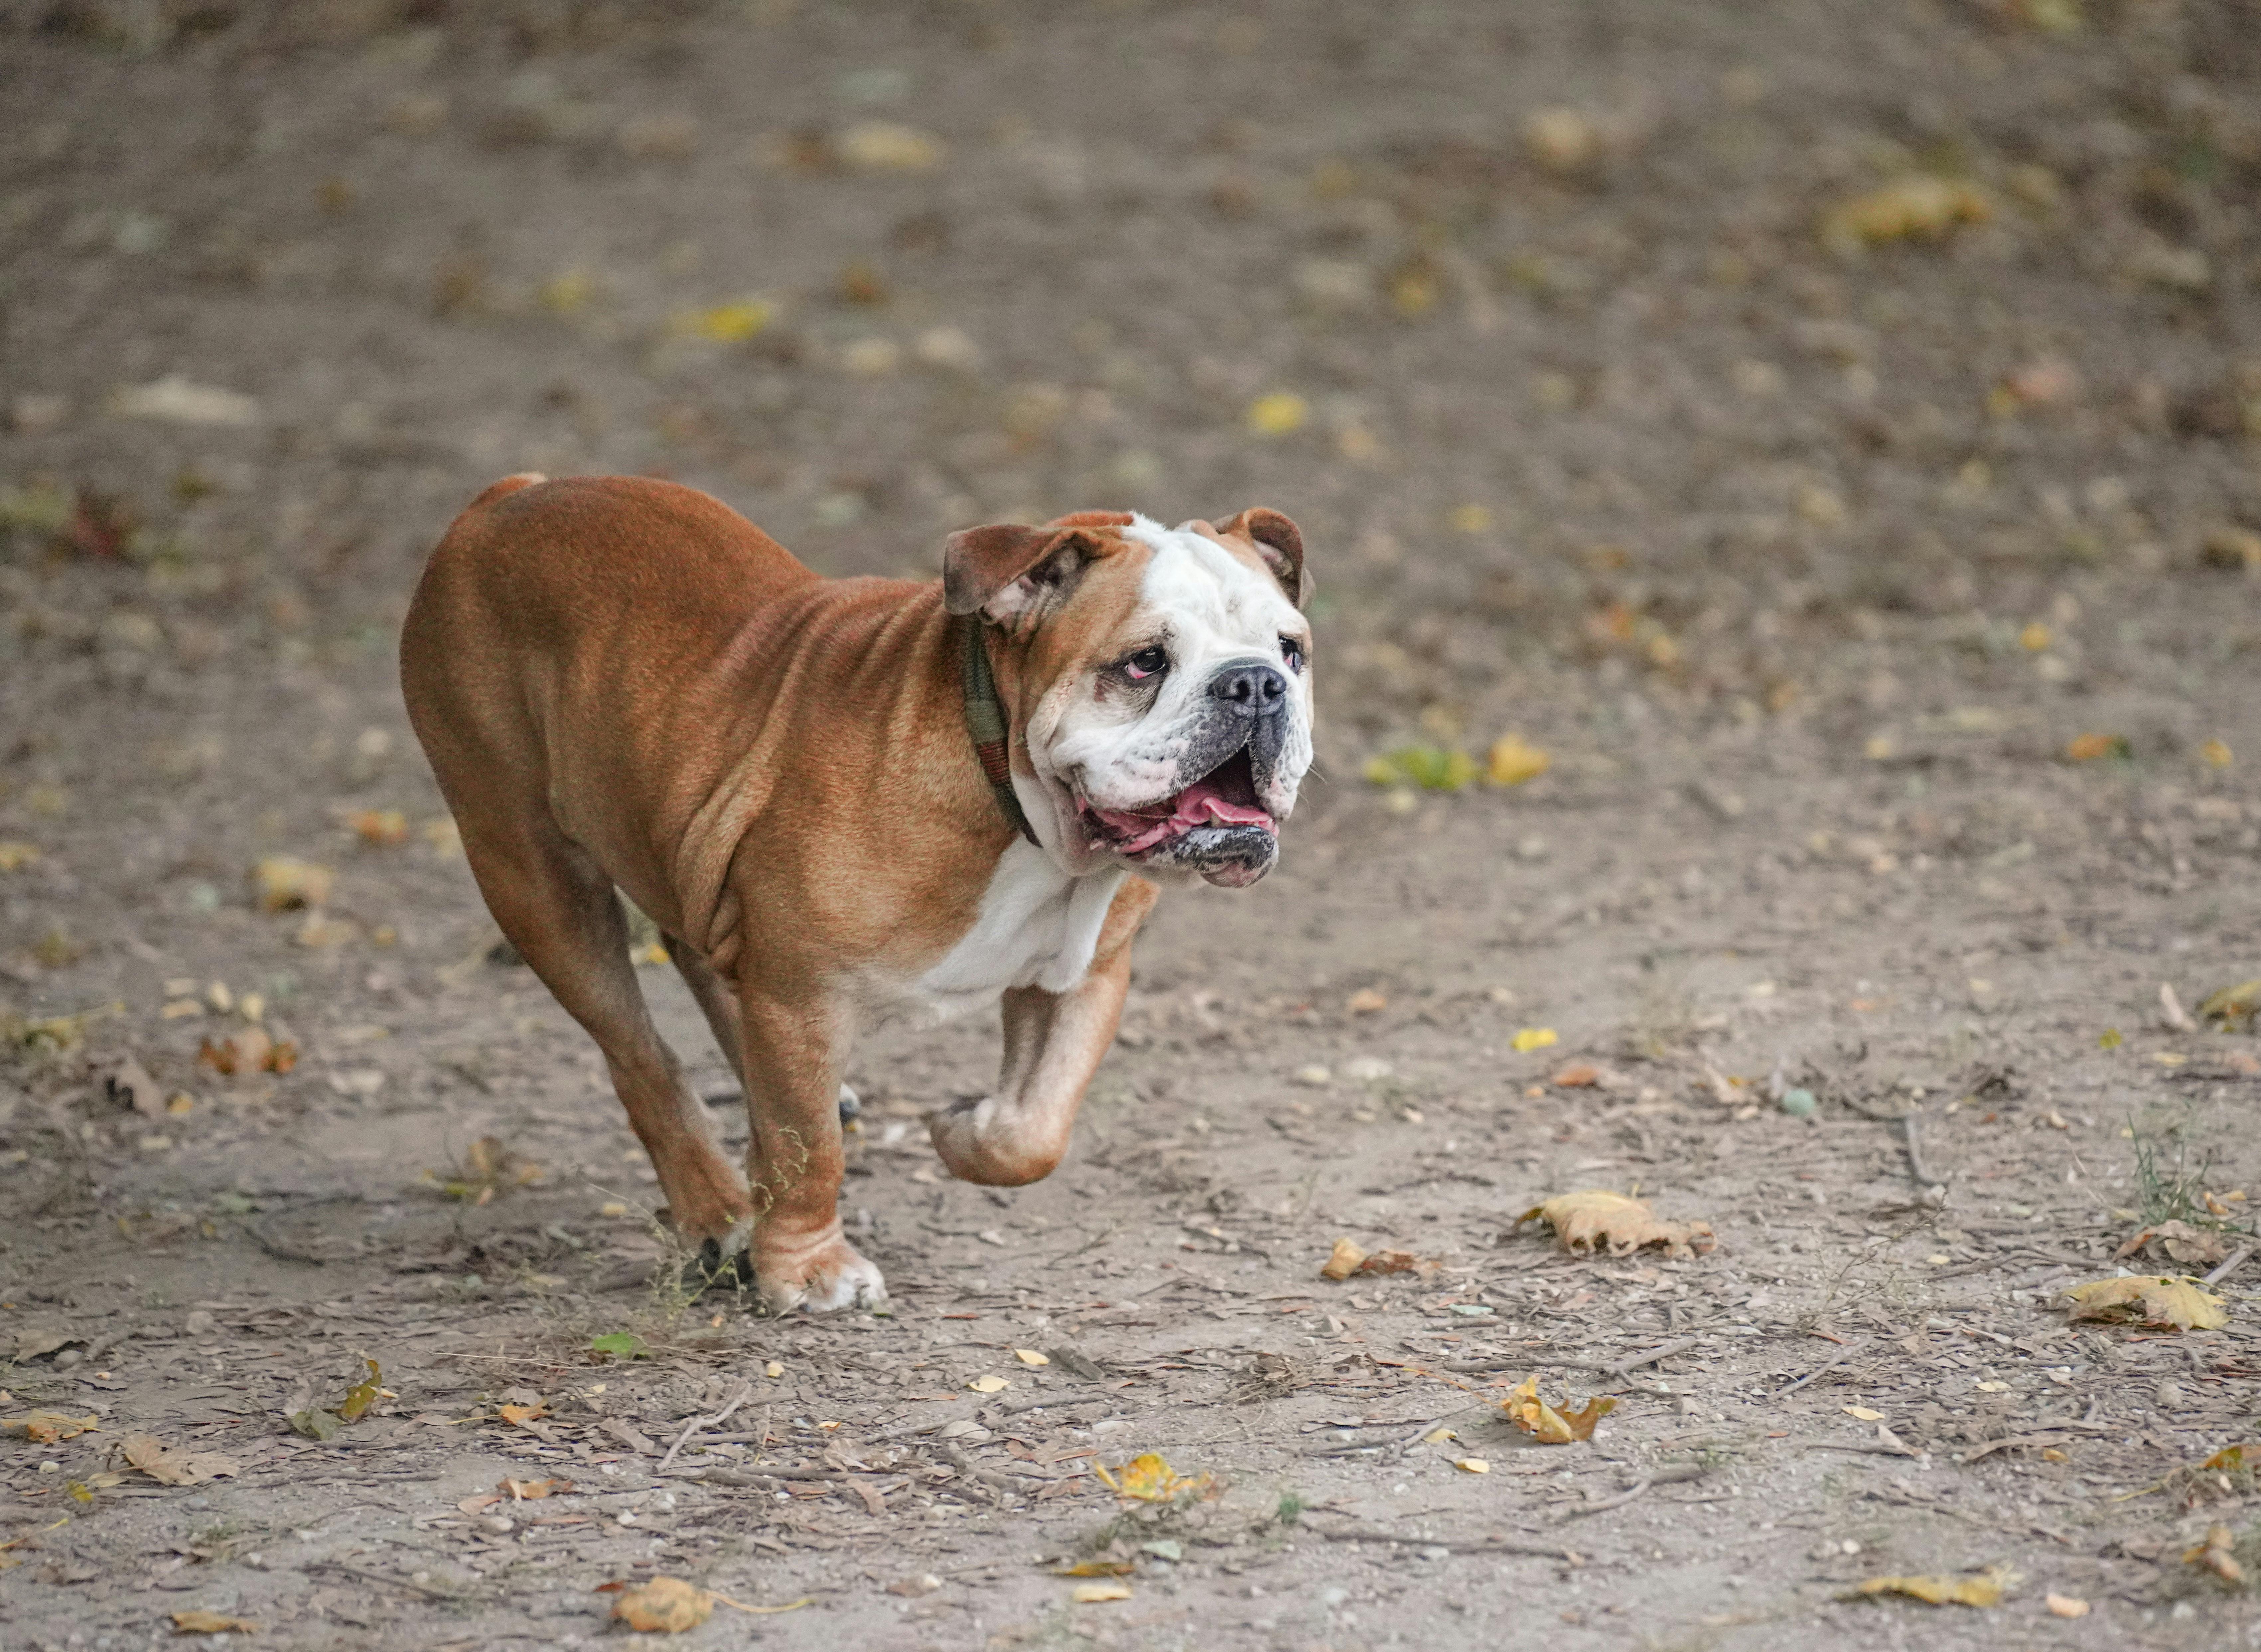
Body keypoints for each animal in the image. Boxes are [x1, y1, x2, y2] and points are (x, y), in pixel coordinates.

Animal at [402, 479, 1311, 1320]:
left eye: (1291, 651)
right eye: (1144, 662)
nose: (1255, 684)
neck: (1007, 789)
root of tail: (502, 500)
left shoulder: (1085, 973)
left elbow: (1034, 1127)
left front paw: (964, 1127)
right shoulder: (800, 999)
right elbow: (809, 1148)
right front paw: (807, 1268)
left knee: (702, 956)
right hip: (532, 872)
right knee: (641, 1059)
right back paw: (720, 1213)